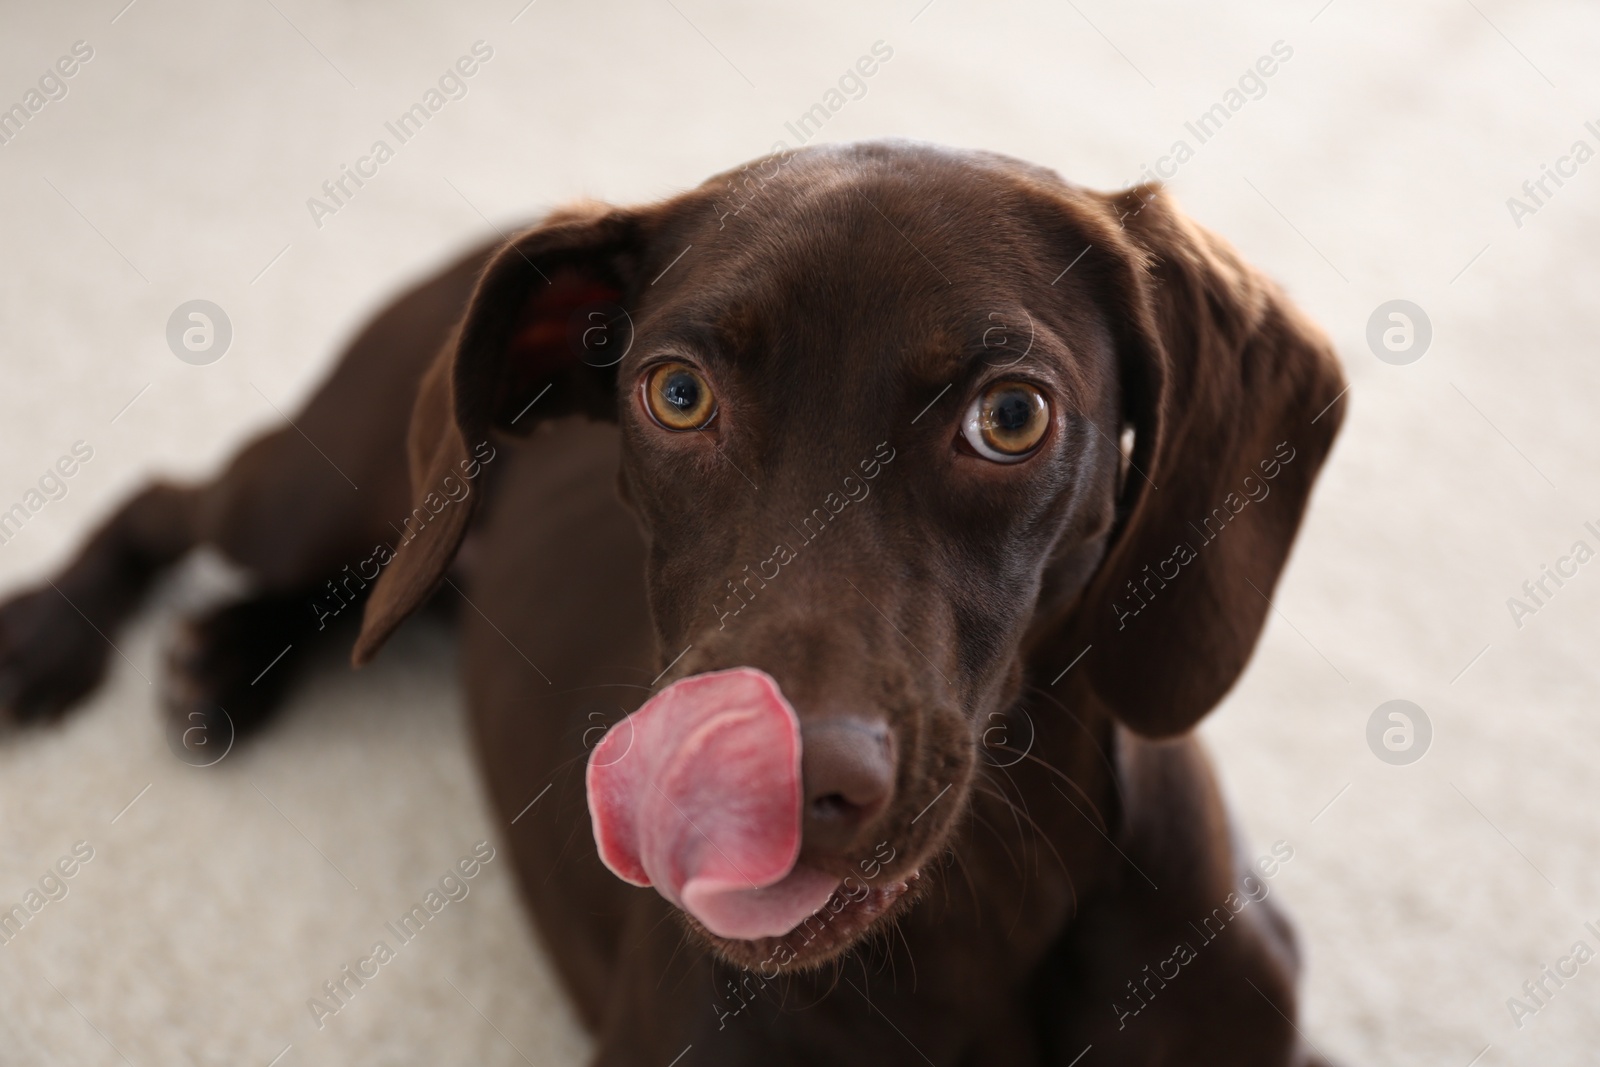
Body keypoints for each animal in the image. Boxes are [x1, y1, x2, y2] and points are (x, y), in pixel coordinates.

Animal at [0, 141, 1350, 1067]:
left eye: (1012, 415)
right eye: (678, 394)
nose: (762, 793)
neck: (982, 914)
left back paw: (227, 657)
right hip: (325, 484)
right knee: (174, 502)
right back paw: (56, 641)